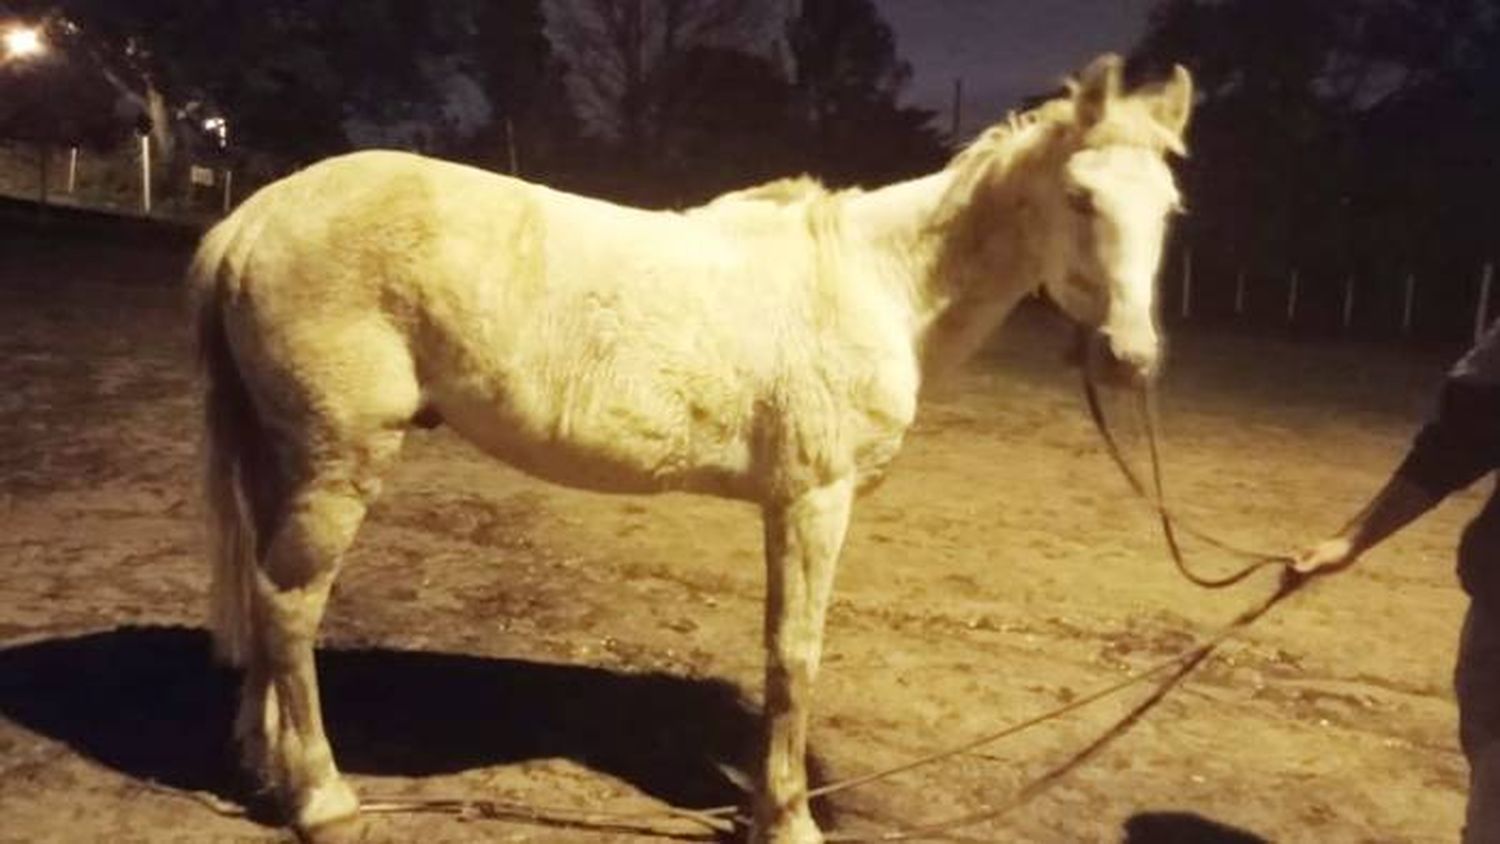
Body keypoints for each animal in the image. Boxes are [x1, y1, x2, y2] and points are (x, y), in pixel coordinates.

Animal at [190, 54, 1194, 844]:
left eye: (1171, 210)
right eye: (1080, 197)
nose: (1132, 359)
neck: (877, 281)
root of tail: (255, 217)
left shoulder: (786, 505)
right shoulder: (814, 501)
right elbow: (795, 657)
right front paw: (787, 818)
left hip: (285, 456)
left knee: (264, 596)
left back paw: (261, 763)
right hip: (339, 461)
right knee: (289, 607)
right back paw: (321, 799)